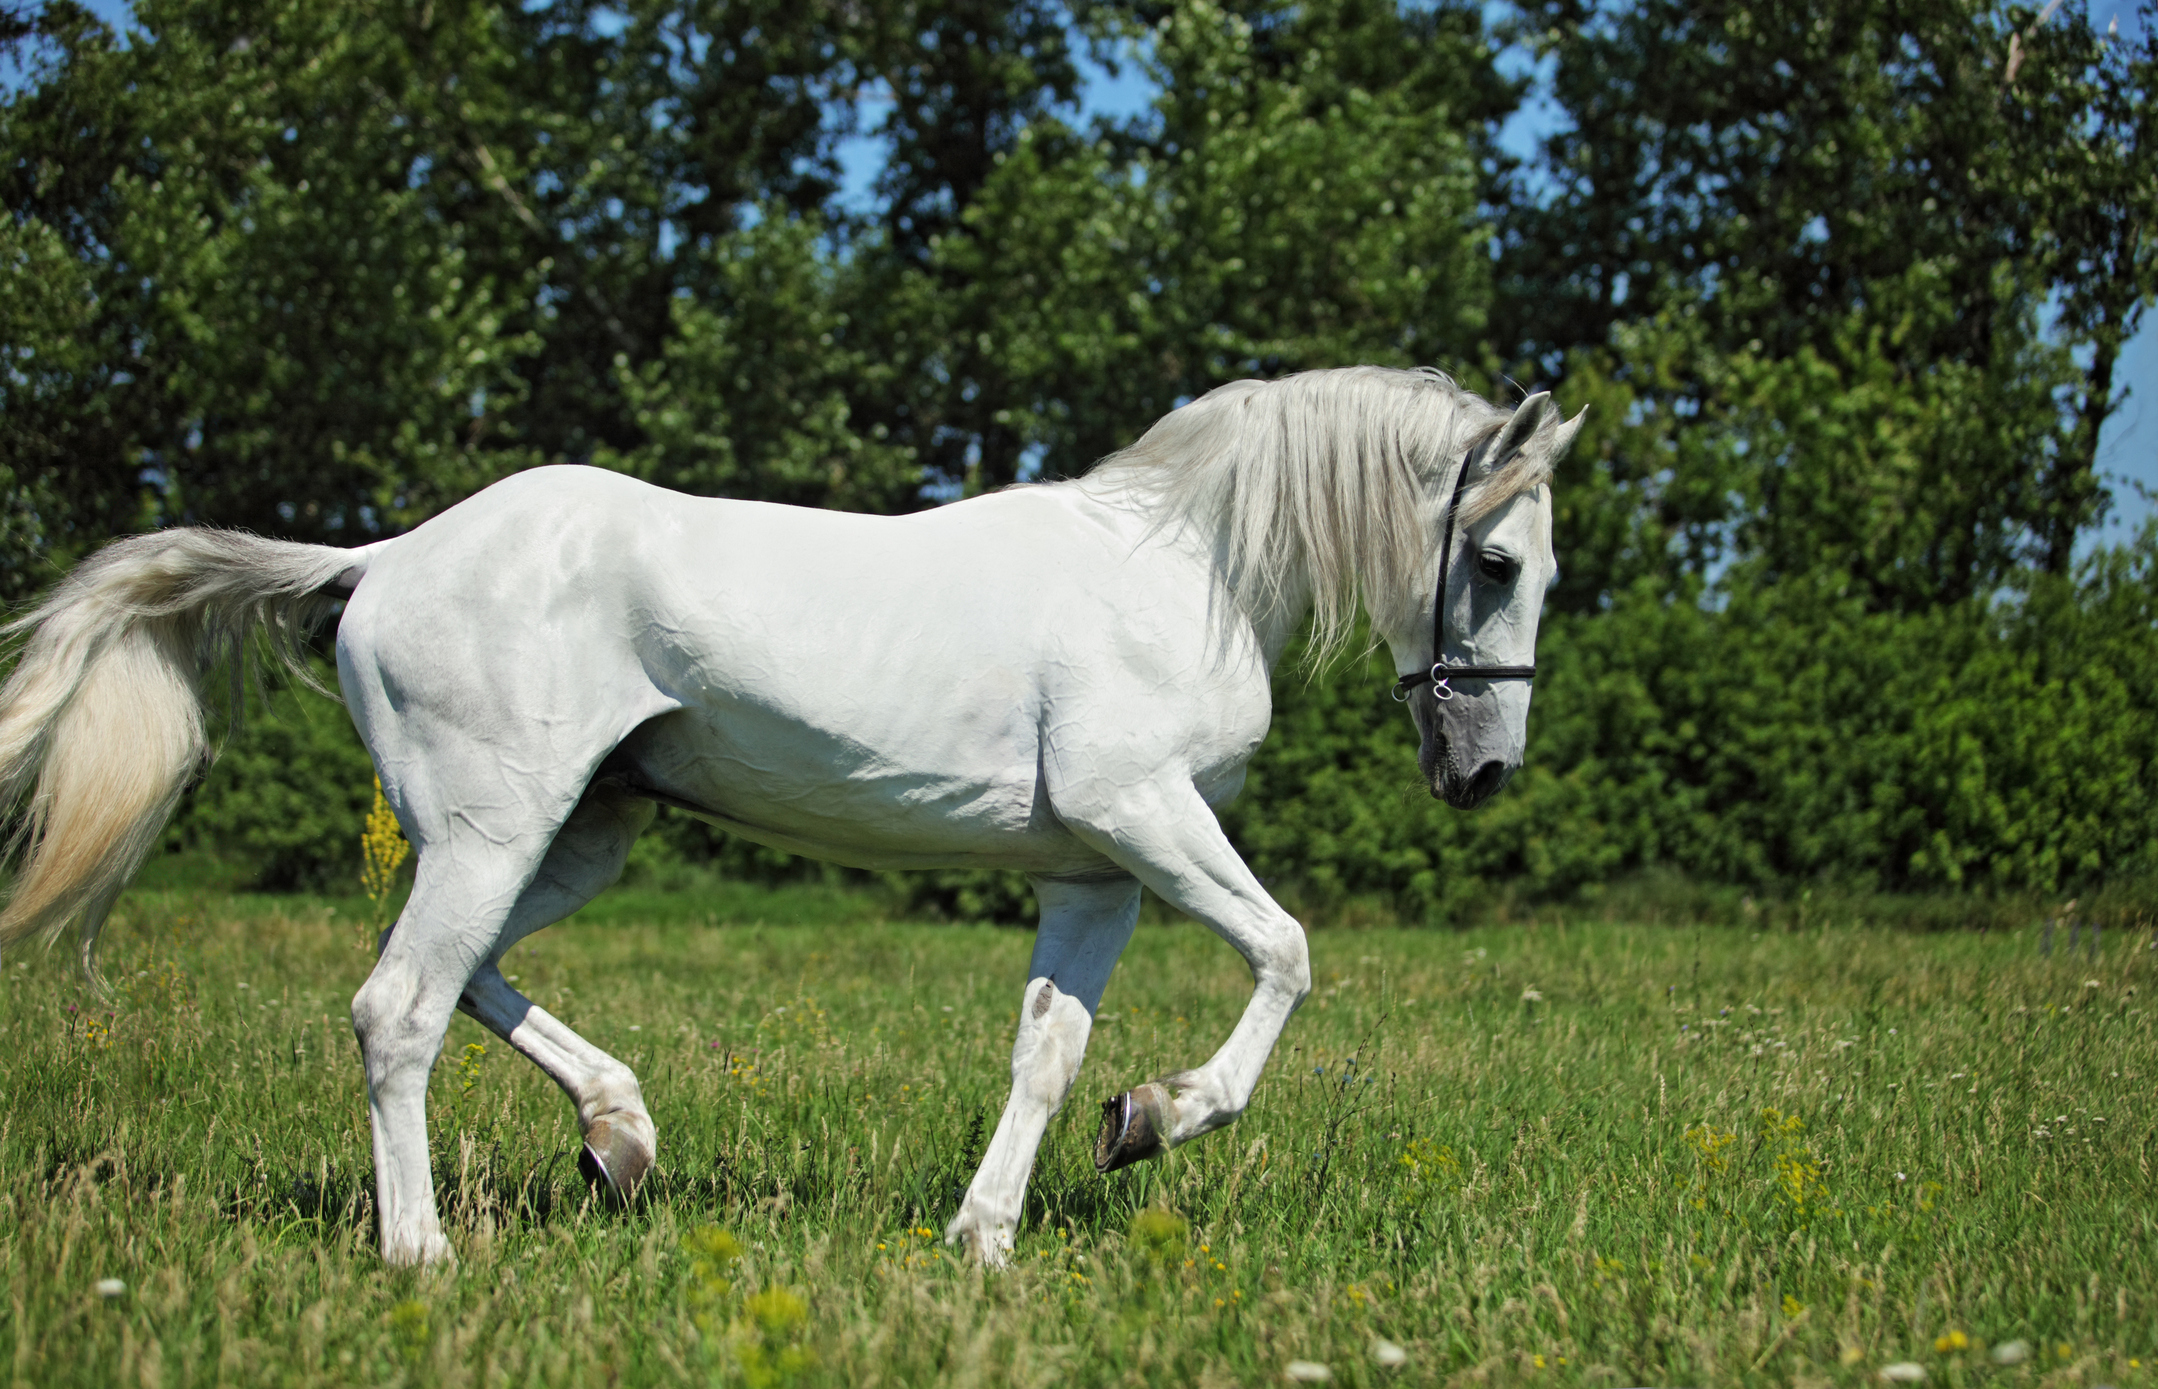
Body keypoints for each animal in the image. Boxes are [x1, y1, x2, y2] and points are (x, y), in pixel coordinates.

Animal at [0, 364, 1579, 1268]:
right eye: (1497, 562)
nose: (1483, 770)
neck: (1182, 573)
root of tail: (379, 558)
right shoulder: (1141, 816)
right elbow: (1288, 952)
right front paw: (1165, 1116)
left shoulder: (1095, 873)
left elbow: (1047, 1056)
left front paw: (991, 1234)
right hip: (499, 828)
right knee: (399, 1009)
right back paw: (421, 1255)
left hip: (574, 833)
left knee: (457, 980)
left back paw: (620, 1137)